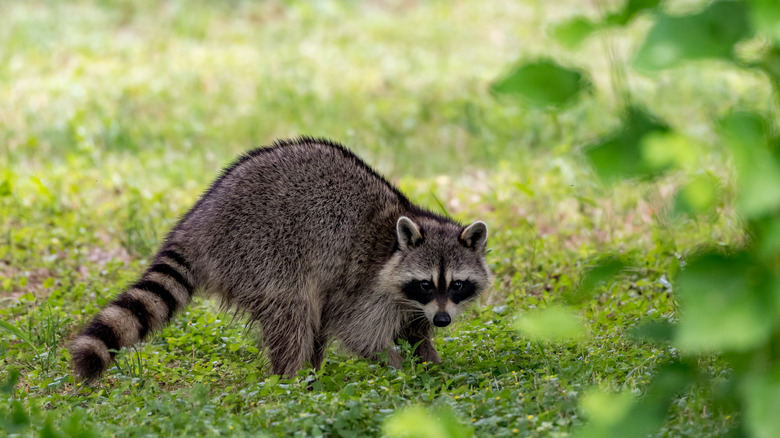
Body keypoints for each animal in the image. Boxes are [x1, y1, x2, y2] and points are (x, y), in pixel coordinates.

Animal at [70, 137, 491, 381]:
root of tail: (197, 223)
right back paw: (292, 380)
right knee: (295, 313)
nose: (443, 319)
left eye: (456, 285)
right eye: (425, 283)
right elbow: (358, 331)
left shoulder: (409, 303)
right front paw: (399, 371)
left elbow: (413, 331)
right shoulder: (365, 285)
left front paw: (431, 364)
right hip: (260, 252)